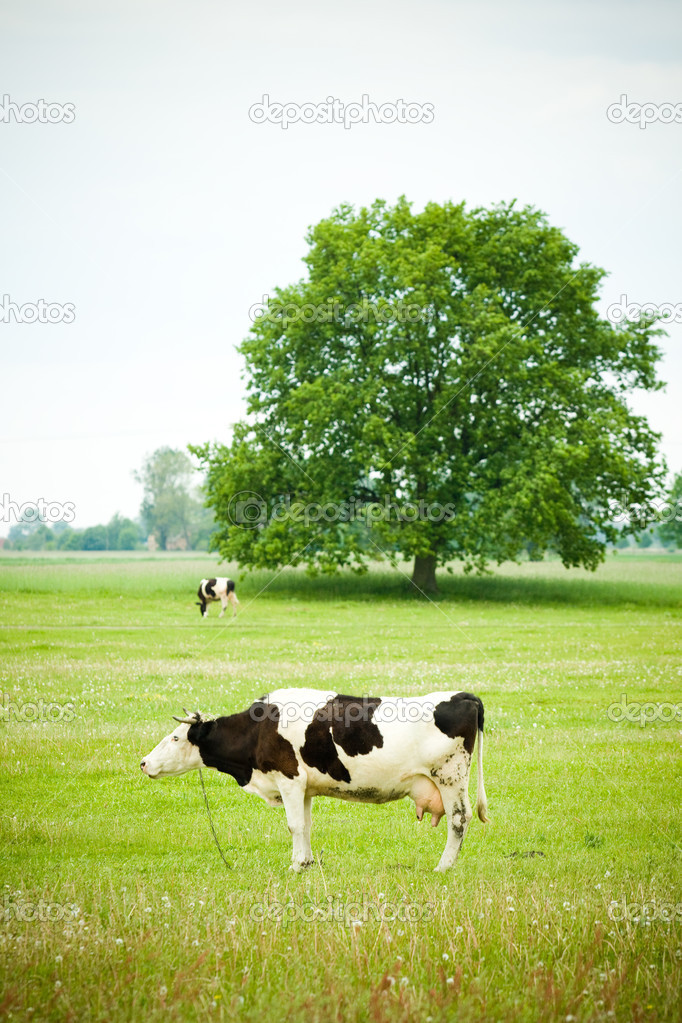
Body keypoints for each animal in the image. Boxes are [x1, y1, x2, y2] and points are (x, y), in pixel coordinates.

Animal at [140, 687, 490, 871]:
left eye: (174, 738)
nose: (143, 763)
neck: (259, 730)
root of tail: (462, 696)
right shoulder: (305, 787)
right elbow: (306, 825)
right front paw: (307, 862)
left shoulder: (289, 778)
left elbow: (294, 825)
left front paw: (295, 865)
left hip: (450, 776)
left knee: (459, 819)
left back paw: (444, 866)